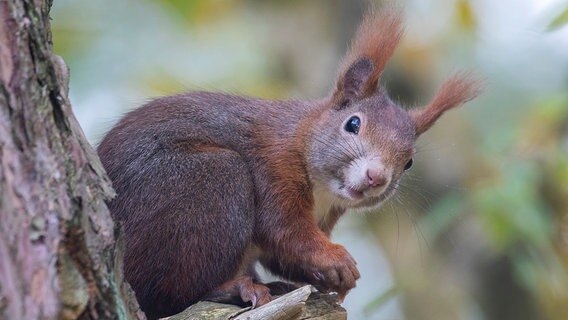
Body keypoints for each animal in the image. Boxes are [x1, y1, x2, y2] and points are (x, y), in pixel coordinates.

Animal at [96, 5, 480, 320]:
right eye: (353, 124)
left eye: (410, 162)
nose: (376, 177)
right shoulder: (273, 165)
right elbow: (285, 230)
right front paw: (339, 260)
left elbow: (281, 255)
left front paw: (332, 277)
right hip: (207, 183)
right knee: (168, 298)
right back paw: (234, 288)